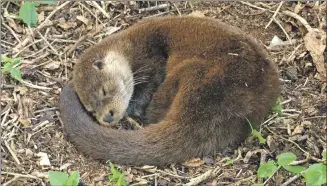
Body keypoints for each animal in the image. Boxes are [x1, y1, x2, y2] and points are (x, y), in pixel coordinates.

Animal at [58, 16, 280, 166]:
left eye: (104, 91)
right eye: (91, 109)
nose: (107, 117)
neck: (129, 46)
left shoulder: (150, 58)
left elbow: (148, 85)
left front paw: (133, 109)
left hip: (196, 72)